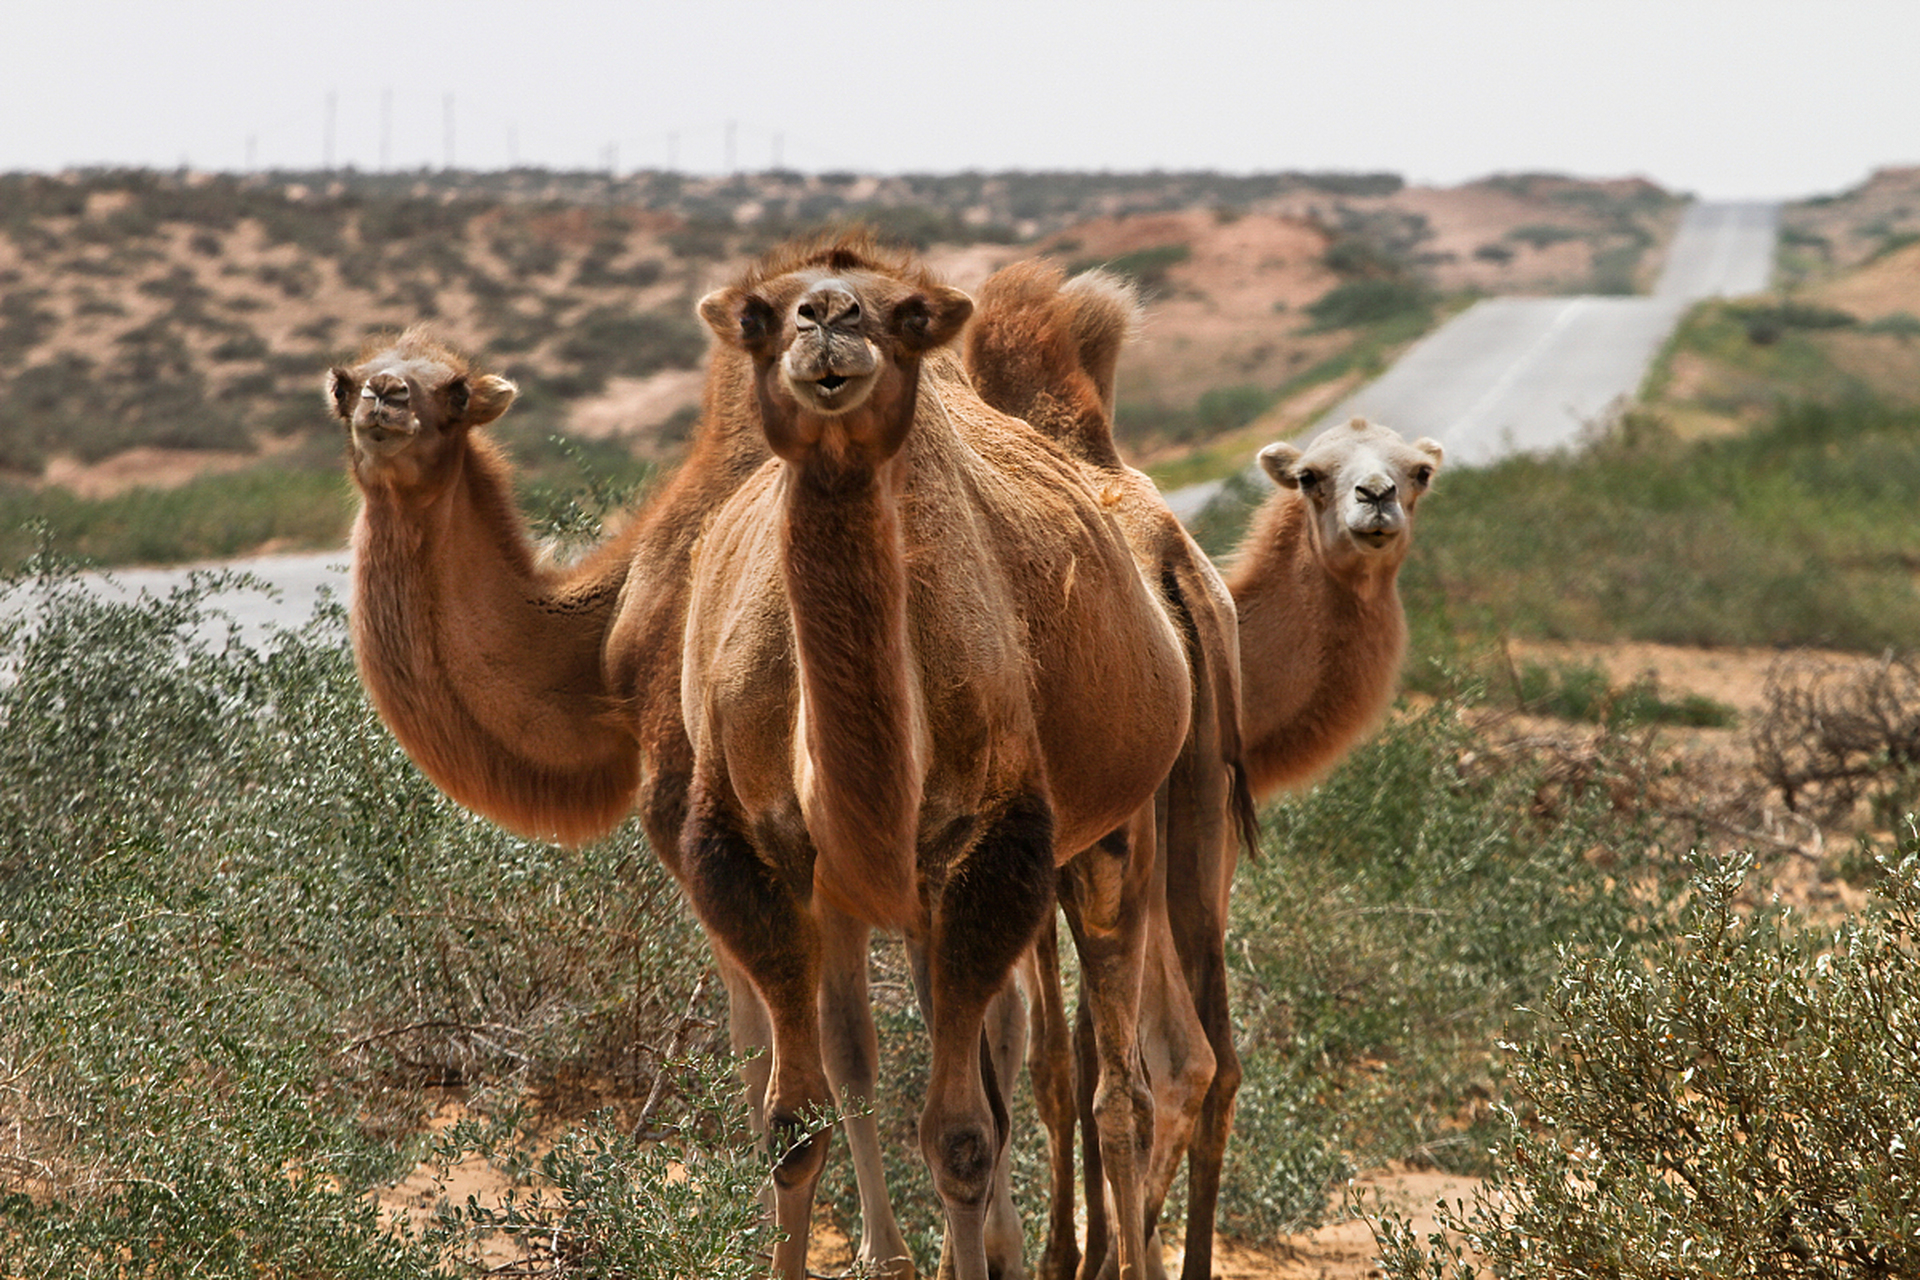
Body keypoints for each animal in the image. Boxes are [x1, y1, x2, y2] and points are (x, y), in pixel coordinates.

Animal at [336, 230, 1190, 1280]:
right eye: (348, 378)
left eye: (451, 388)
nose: (384, 400)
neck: (607, 649)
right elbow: (829, 1065)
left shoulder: (688, 817)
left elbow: (791, 1062)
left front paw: (856, 1247)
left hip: (1103, 831)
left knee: (1100, 1060)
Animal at [960, 257, 1259, 1280]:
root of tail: (1171, 567)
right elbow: (1076, 1052)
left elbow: (1049, 1061)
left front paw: (1051, 1254)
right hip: (1198, 829)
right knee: (1208, 1057)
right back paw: (1177, 1261)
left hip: (1115, 850)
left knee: (1136, 1067)